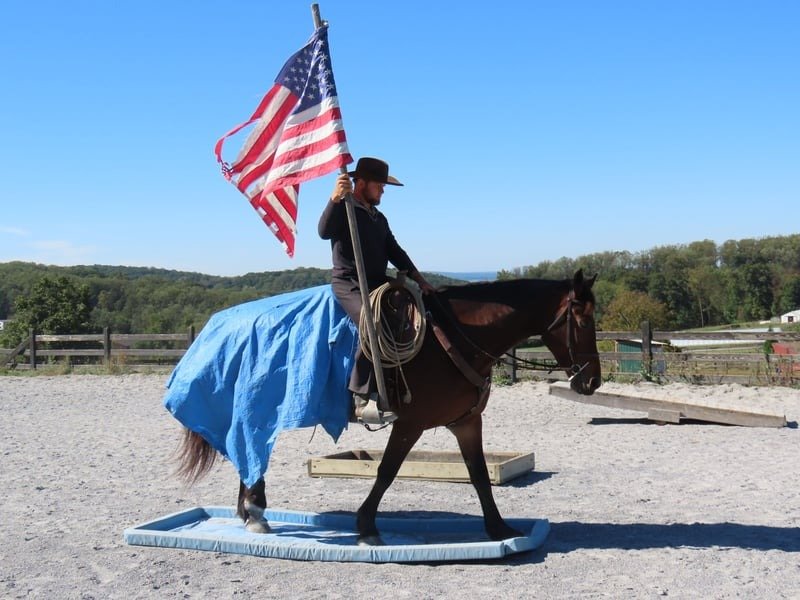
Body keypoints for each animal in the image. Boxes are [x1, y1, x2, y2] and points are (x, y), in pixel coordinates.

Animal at [175, 269, 601, 545]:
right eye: (582, 319)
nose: (592, 381)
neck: (453, 339)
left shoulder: (466, 422)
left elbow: (479, 474)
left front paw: (498, 529)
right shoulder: (409, 423)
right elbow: (386, 471)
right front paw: (366, 526)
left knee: (247, 457)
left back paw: (250, 512)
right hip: (256, 409)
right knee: (249, 453)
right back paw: (254, 512)